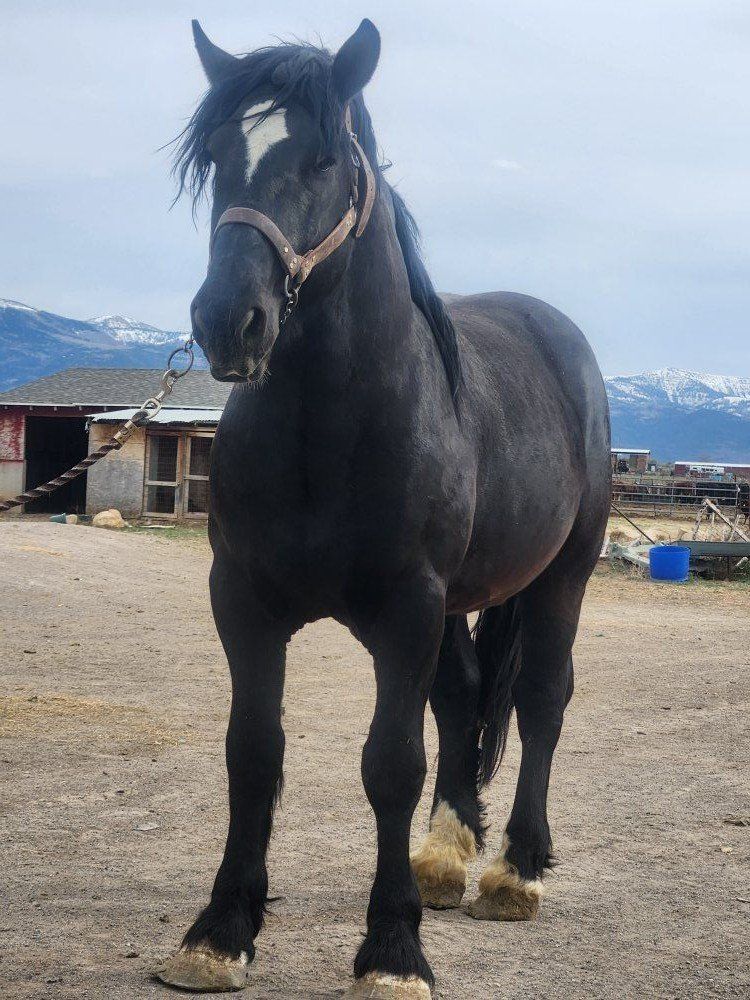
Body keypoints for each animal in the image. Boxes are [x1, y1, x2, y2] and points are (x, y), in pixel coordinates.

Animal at [155, 19, 611, 998]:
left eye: (327, 158)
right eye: (215, 158)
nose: (228, 321)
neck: (329, 431)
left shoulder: (406, 609)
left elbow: (390, 765)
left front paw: (393, 949)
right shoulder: (243, 603)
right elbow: (254, 753)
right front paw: (220, 932)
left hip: (563, 575)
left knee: (544, 699)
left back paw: (513, 870)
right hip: (459, 603)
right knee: (466, 694)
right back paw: (446, 857)